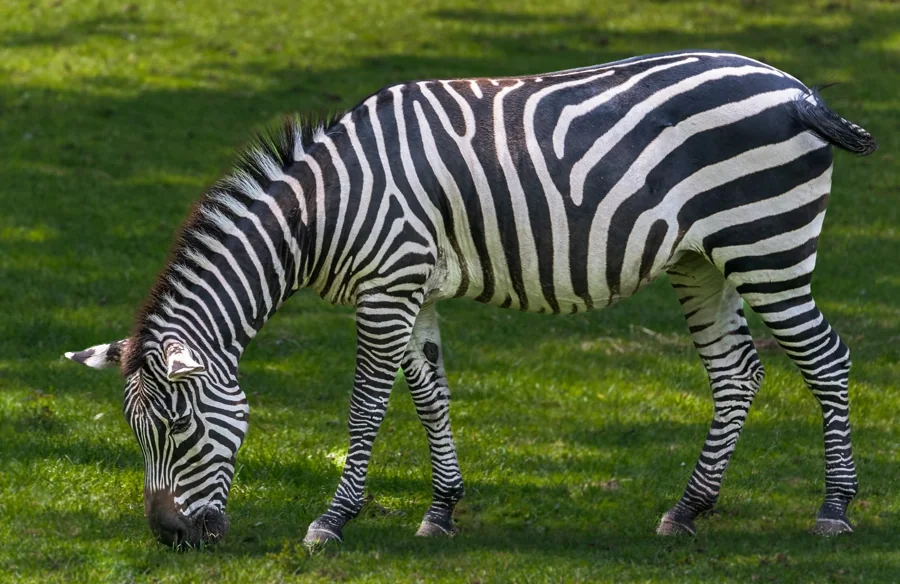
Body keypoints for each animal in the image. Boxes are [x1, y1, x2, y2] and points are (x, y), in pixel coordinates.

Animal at [65, 50, 876, 548]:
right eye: (136, 435)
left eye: (179, 430)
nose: (169, 537)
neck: (320, 212)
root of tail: (797, 88)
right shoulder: (411, 288)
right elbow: (430, 395)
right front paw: (442, 511)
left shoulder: (386, 288)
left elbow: (367, 402)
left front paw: (333, 520)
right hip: (702, 259)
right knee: (737, 372)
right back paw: (687, 509)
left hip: (767, 244)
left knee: (826, 360)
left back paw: (834, 510)